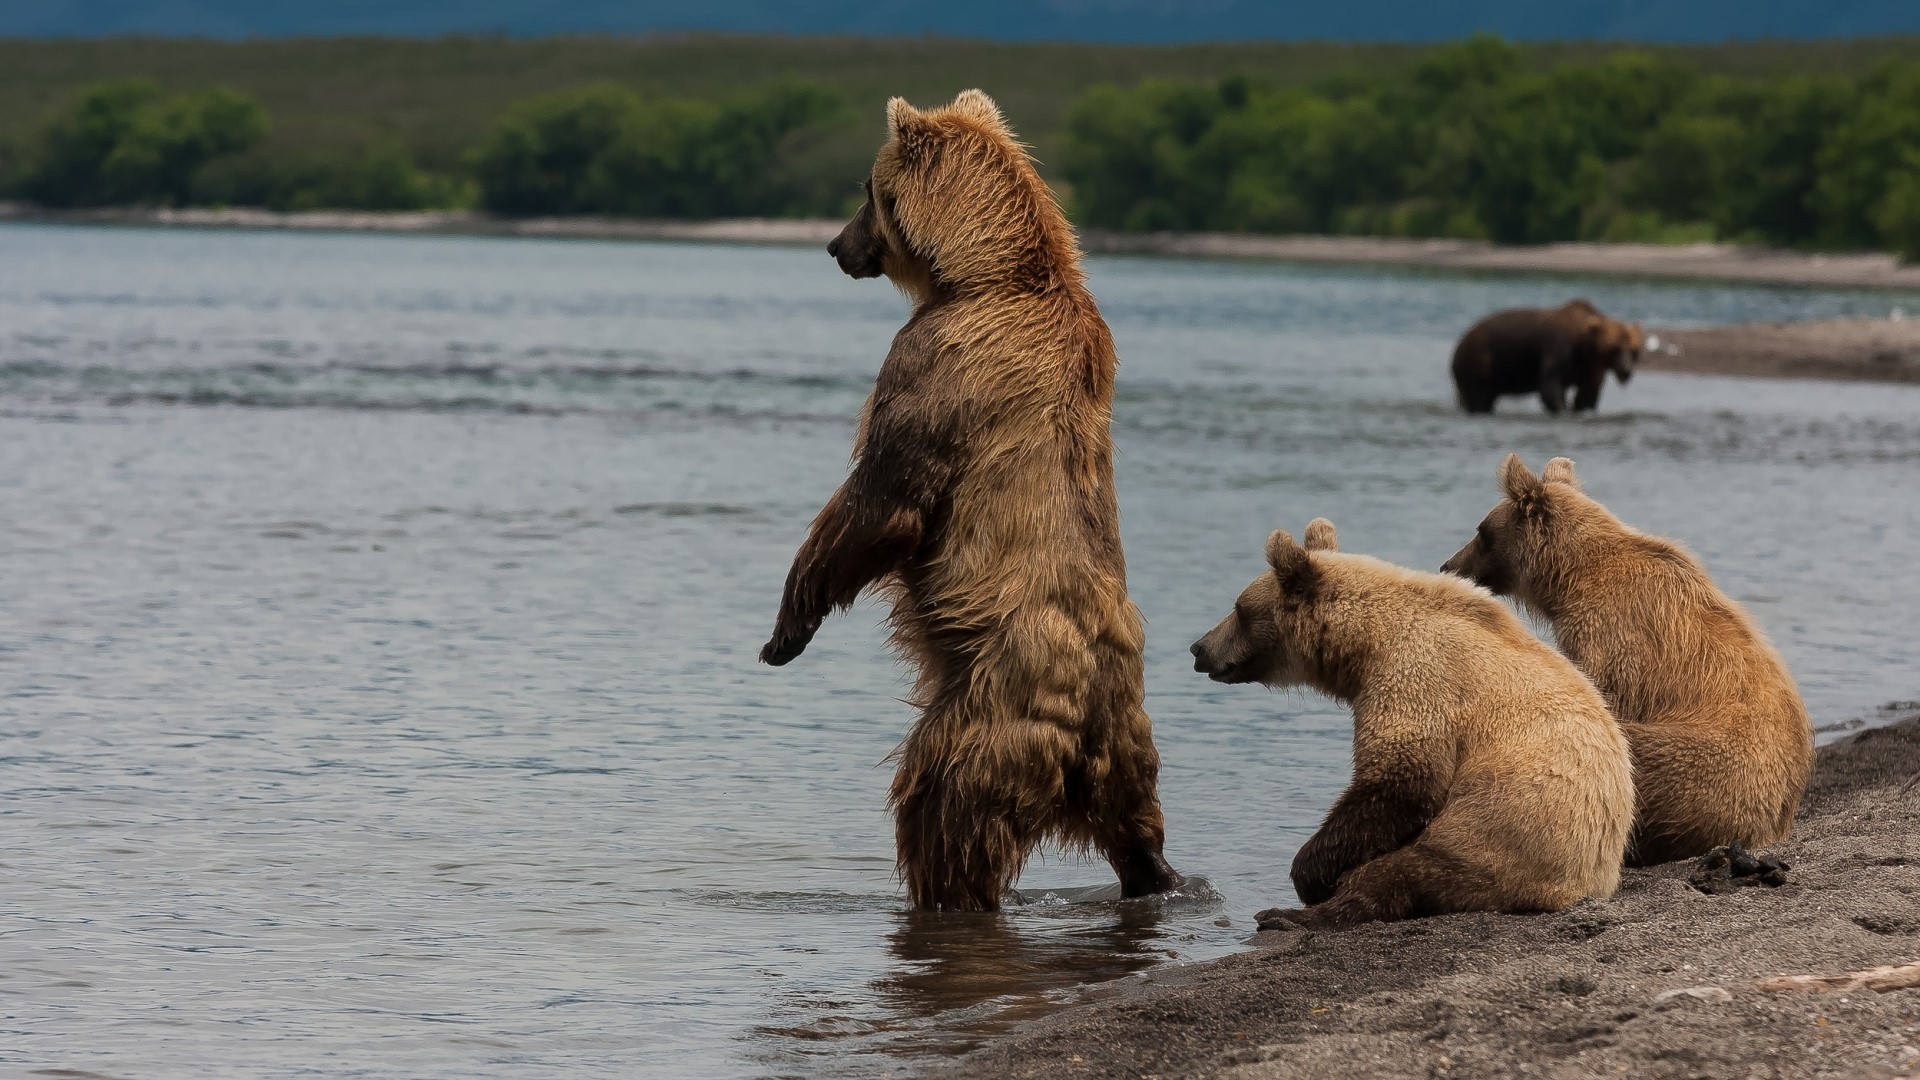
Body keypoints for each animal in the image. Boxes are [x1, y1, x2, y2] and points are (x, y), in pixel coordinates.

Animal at [758, 89, 1183, 911]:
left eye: (865, 190)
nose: (834, 246)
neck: (983, 276)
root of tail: (1084, 722)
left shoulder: (938, 361)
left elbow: (885, 496)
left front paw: (787, 627)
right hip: (1127, 738)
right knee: (1138, 821)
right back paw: (1157, 878)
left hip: (990, 705)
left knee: (941, 802)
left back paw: (944, 887)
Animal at [1189, 519, 1634, 929]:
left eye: (1240, 609)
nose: (1198, 647)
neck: (1365, 645)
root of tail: (1588, 884)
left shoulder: (1417, 677)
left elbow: (1402, 781)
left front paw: (1310, 875)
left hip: (1504, 838)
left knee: (1401, 873)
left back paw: (1289, 915)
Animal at [1441, 455, 1815, 866]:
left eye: (1482, 533)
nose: (1448, 565)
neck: (1569, 579)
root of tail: (1771, 825)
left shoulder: (1612, 636)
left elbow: (1599, 699)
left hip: (1711, 765)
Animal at [1450, 299, 1642, 414]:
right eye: (1615, 349)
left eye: (1634, 350)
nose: (1626, 372)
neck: (1584, 348)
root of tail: (1460, 341)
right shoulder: (1559, 352)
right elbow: (1550, 388)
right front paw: (1562, 408)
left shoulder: (1592, 368)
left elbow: (1587, 394)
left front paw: (1582, 407)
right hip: (1480, 361)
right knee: (1478, 397)